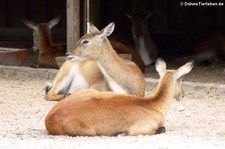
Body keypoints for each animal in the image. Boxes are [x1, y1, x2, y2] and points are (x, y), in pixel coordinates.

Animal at [45, 58, 193, 136]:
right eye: (182, 79)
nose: (183, 94)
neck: (153, 104)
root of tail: (48, 118)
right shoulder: (142, 129)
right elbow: (161, 129)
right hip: (89, 131)